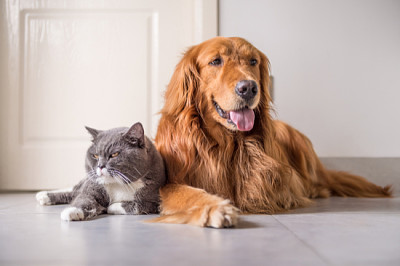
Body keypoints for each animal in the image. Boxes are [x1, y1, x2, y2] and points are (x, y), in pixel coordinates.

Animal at [35, 122, 165, 220]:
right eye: (95, 155)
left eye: (114, 154)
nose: (100, 166)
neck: (117, 185)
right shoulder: (93, 186)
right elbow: (84, 198)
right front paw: (72, 211)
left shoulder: (156, 201)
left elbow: (138, 205)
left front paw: (111, 207)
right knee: (75, 190)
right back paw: (43, 195)